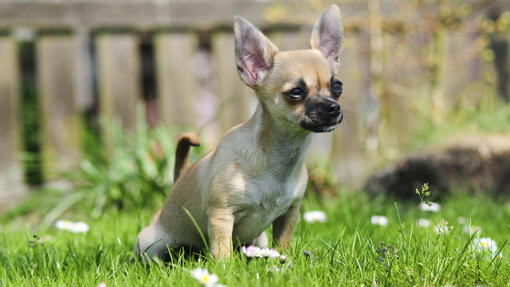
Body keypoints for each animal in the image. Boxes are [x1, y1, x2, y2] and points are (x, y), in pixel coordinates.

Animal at [135, 3, 344, 260]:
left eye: (337, 87)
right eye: (296, 92)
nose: (334, 108)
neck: (277, 156)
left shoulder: (290, 213)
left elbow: (283, 243)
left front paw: (284, 260)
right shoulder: (221, 215)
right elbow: (222, 251)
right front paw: (224, 267)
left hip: (259, 239)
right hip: (151, 245)